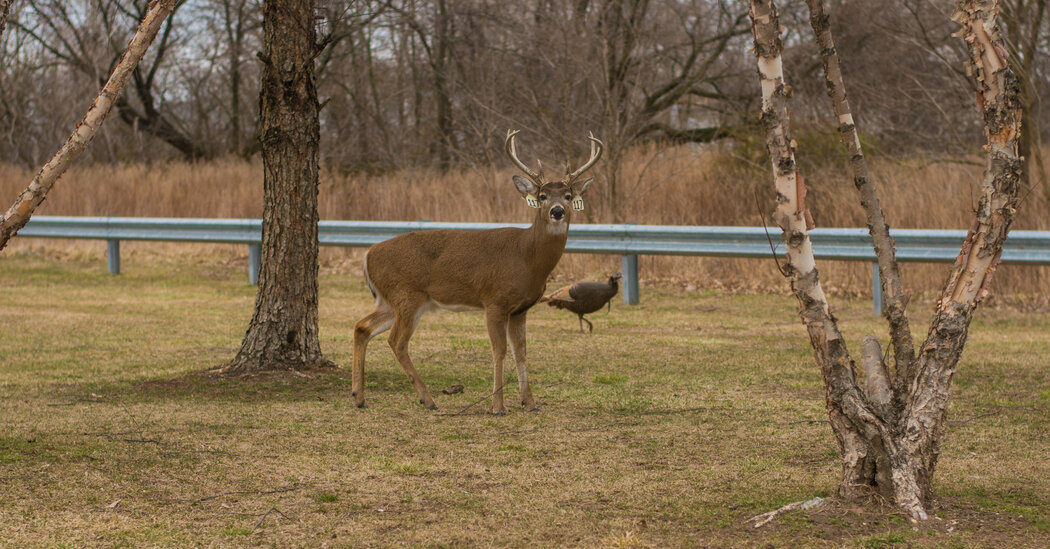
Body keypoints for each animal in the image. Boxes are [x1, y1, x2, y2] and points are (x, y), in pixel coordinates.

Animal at [350, 130, 604, 411]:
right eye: (542, 196)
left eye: (568, 196)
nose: (557, 211)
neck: (527, 257)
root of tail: (367, 255)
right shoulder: (494, 300)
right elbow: (499, 350)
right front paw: (498, 406)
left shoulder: (521, 308)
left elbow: (521, 351)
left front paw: (529, 403)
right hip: (407, 295)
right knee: (397, 341)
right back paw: (428, 399)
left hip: (391, 299)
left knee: (362, 327)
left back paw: (359, 396)